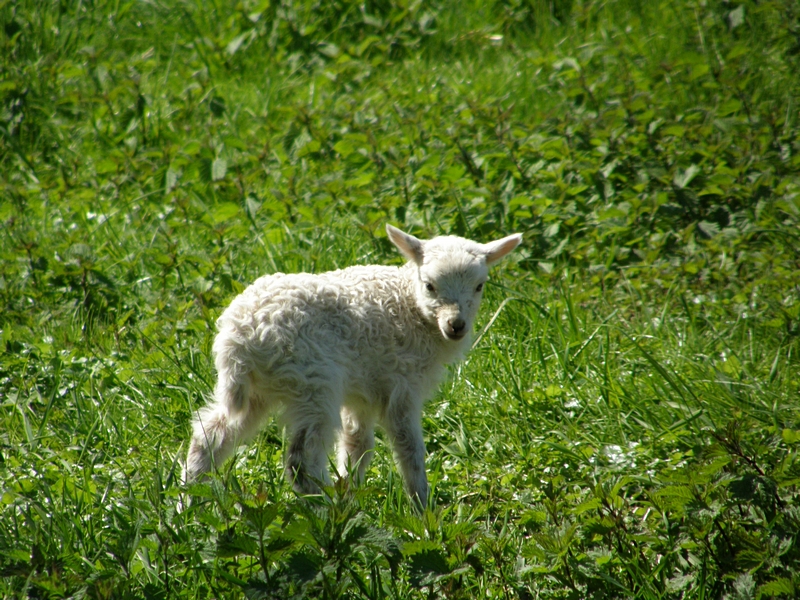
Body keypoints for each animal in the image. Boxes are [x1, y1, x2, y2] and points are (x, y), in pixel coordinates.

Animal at [184, 223, 520, 508]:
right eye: (429, 285)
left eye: (479, 286)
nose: (456, 325)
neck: (411, 308)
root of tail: (238, 336)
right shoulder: (403, 385)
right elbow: (409, 448)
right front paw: (422, 509)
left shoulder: (364, 391)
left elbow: (357, 444)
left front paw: (350, 495)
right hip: (313, 380)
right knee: (300, 462)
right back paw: (325, 514)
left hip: (258, 387)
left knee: (210, 434)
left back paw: (186, 503)